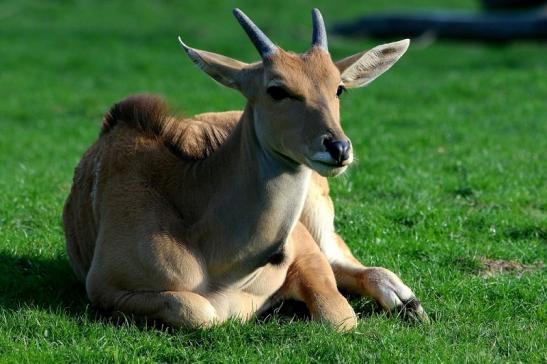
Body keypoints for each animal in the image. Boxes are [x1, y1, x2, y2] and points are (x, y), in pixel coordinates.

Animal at [64, 7, 428, 332]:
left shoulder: (307, 251)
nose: (338, 148)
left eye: (338, 88)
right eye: (277, 89)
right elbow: (197, 310)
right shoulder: (105, 287)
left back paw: (406, 301)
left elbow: (340, 317)